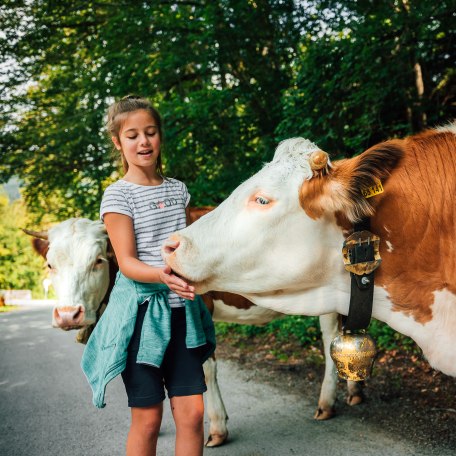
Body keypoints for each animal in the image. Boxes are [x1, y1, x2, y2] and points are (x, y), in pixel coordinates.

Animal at [27, 216, 364, 448]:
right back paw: (354, 393)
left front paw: (217, 428)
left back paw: (326, 404)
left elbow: (205, 368)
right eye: (50, 264)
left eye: (97, 261)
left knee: (330, 338)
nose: (68, 314)